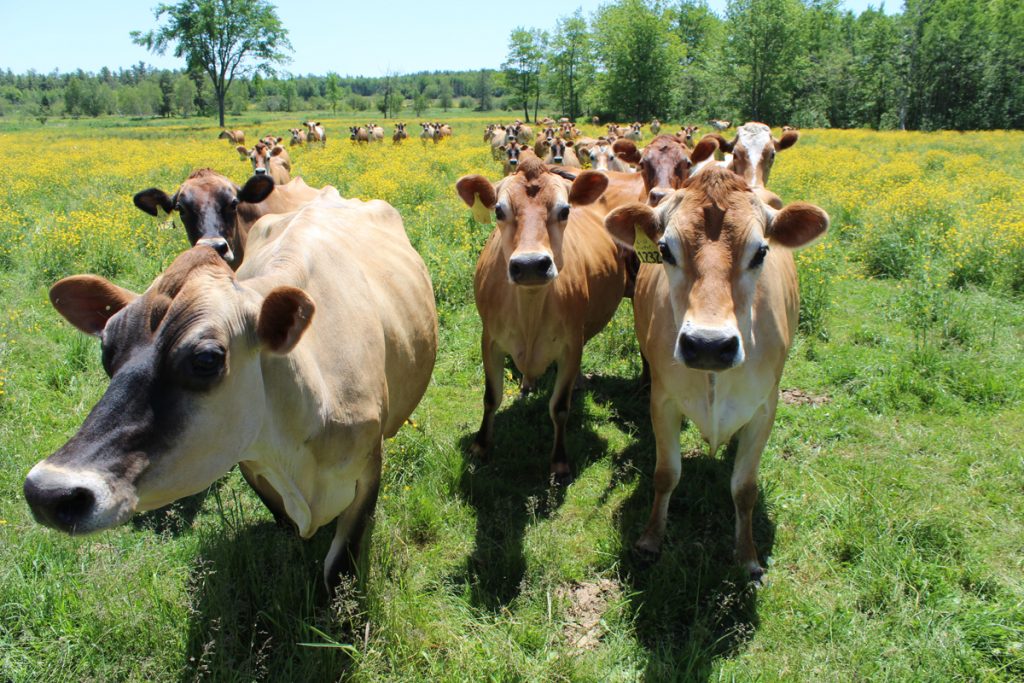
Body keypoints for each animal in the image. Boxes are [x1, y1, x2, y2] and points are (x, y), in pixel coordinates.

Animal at [24, 191, 438, 589]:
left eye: (207, 359)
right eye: (106, 350)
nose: (47, 492)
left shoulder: (367, 470)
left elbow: (339, 570)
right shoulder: (252, 465)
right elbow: (286, 526)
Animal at [458, 157, 630, 483]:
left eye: (564, 211)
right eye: (499, 210)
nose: (530, 265)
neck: (530, 310)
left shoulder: (571, 345)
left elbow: (559, 407)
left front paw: (559, 462)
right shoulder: (490, 340)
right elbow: (491, 396)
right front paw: (480, 446)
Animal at [602, 165, 827, 581]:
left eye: (761, 251)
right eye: (664, 250)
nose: (708, 344)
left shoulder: (765, 408)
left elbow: (745, 488)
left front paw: (748, 556)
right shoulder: (663, 401)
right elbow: (666, 474)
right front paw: (650, 540)